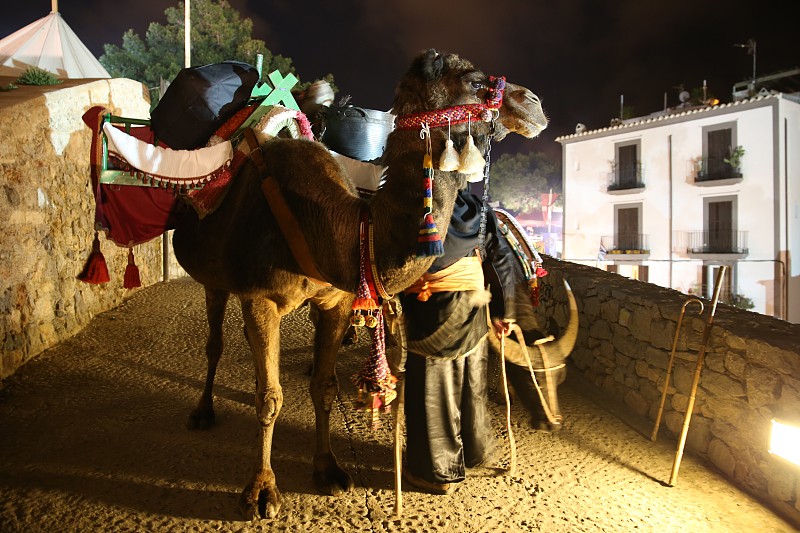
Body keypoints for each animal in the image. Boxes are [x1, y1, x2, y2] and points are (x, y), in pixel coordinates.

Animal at [173, 47, 552, 516]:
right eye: (477, 82)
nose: (533, 103)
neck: (330, 222)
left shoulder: (336, 301)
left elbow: (324, 386)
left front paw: (328, 468)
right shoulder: (260, 298)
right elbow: (270, 398)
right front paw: (261, 490)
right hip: (215, 278)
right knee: (215, 342)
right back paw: (203, 411)